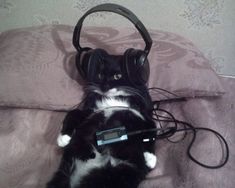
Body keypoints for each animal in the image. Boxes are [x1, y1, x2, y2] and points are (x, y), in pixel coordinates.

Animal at [46, 55, 157, 187]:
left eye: (117, 76)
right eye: (100, 75)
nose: (104, 86)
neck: (113, 98)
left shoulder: (142, 115)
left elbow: (152, 128)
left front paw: (151, 158)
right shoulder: (91, 111)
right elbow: (72, 113)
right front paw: (63, 138)